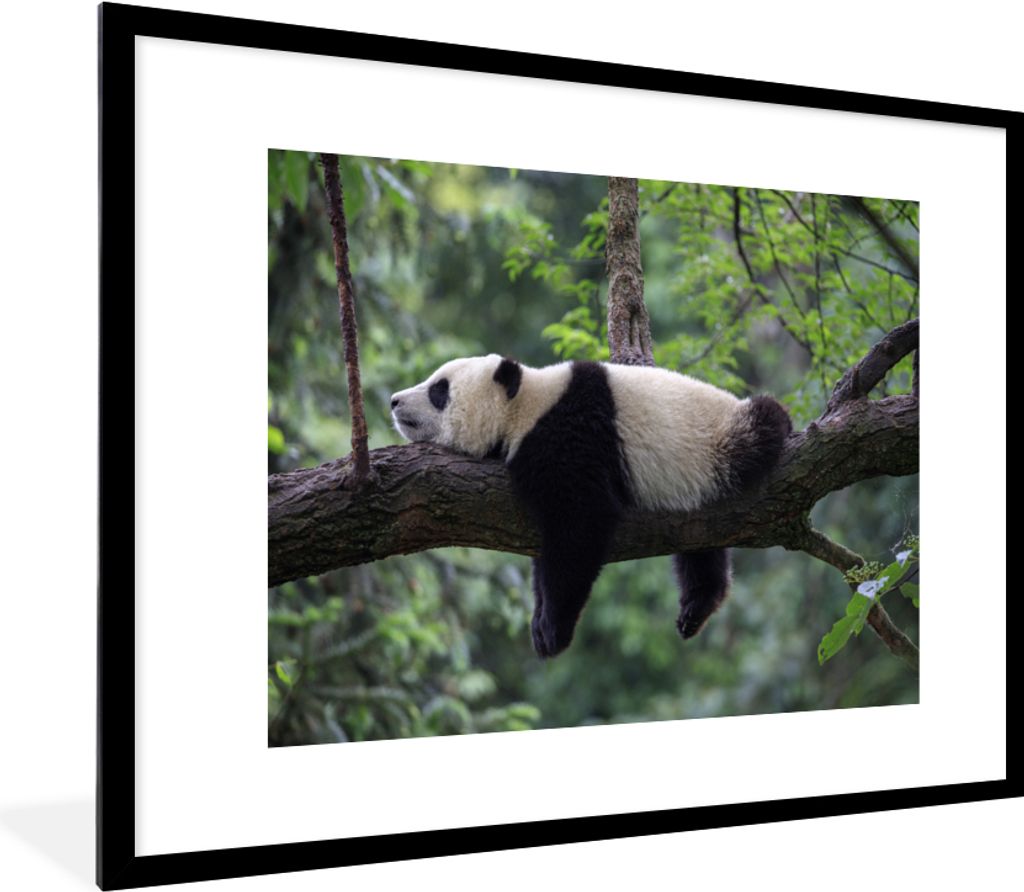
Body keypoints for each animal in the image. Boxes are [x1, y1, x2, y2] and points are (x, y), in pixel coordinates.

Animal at [390, 355, 791, 658]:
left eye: (439, 390)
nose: (394, 400)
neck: (525, 405)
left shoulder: (570, 437)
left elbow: (579, 526)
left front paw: (553, 630)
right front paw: (539, 621)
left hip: (721, 443)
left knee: (764, 424)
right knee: (700, 544)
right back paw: (698, 605)